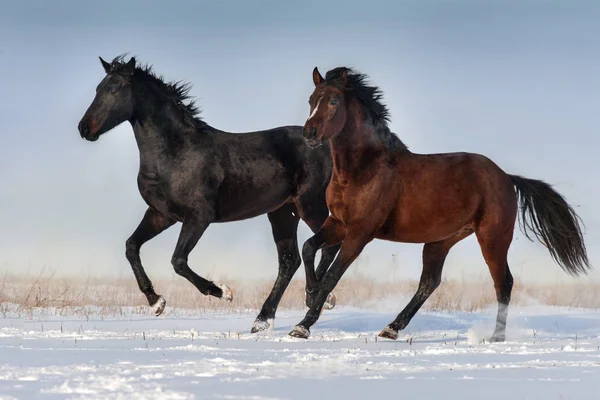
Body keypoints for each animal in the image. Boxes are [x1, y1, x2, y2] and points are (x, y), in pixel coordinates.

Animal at [76, 55, 338, 332]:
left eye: (114, 89)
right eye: (98, 88)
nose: (85, 128)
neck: (175, 153)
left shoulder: (199, 217)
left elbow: (178, 261)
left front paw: (224, 291)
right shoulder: (161, 214)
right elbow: (131, 247)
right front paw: (156, 302)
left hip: (310, 206)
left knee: (327, 245)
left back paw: (318, 296)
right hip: (282, 213)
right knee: (289, 261)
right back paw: (263, 319)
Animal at [290, 65, 592, 340]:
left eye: (333, 100)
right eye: (311, 100)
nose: (310, 133)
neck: (363, 170)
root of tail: (506, 177)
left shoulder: (360, 232)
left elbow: (332, 275)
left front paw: (302, 326)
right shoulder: (337, 223)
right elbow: (309, 248)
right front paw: (312, 297)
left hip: (492, 238)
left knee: (503, 283)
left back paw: (496, 337)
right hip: (441, 241)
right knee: (429, 283)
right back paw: (391, 328)